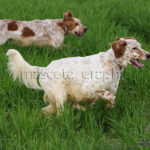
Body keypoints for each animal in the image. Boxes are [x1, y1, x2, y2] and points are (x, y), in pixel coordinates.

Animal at [5, 37, 150, 115]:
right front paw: (106, 107)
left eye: (141, 46)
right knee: (60, 113)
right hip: (60, 95)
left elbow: (100, 100)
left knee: (46, 110)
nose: (148, 54)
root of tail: (45, 68)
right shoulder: (89, 87)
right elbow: (111, 97)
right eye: (134, 48)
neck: (112, 62)